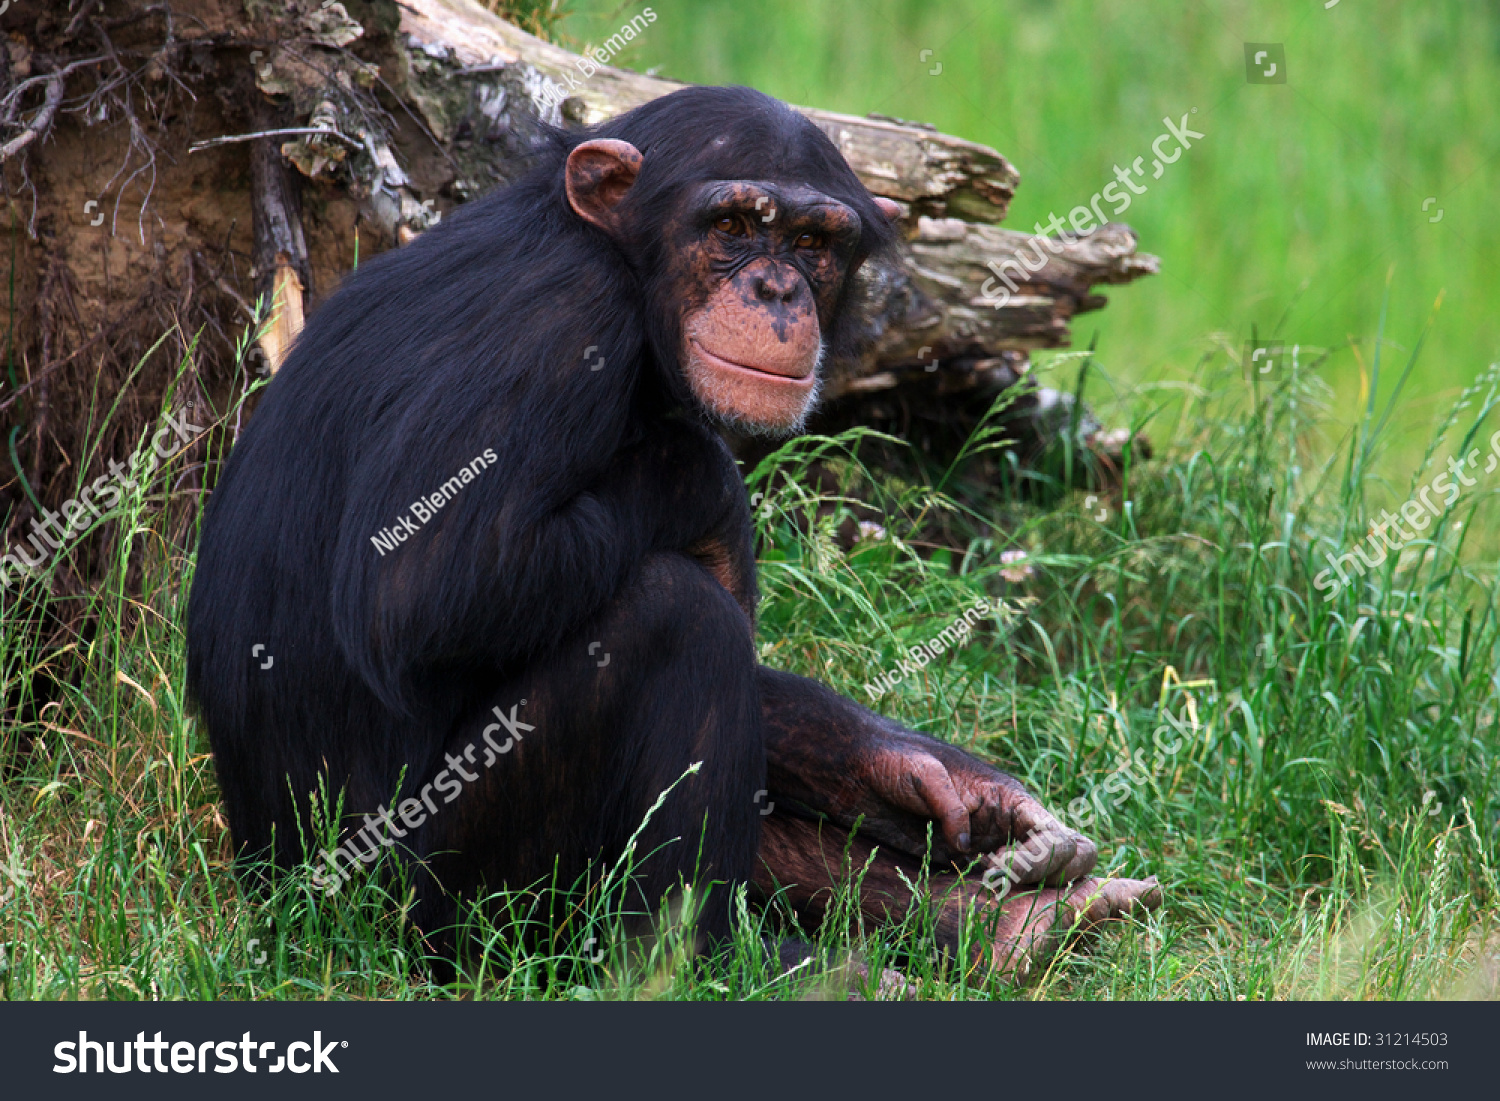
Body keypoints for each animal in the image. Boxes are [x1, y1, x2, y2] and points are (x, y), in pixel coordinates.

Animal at [181, 86, 1152, 984]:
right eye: (732, 225)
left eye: (814, 243)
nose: (776, 289)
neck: (623, 268)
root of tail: (272, 894)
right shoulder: (561, 319)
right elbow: (424, 579)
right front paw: (704, 479)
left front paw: (934, 778)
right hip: (427, 916)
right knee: (670, 615)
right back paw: (724, 964)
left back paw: (1012, 924)